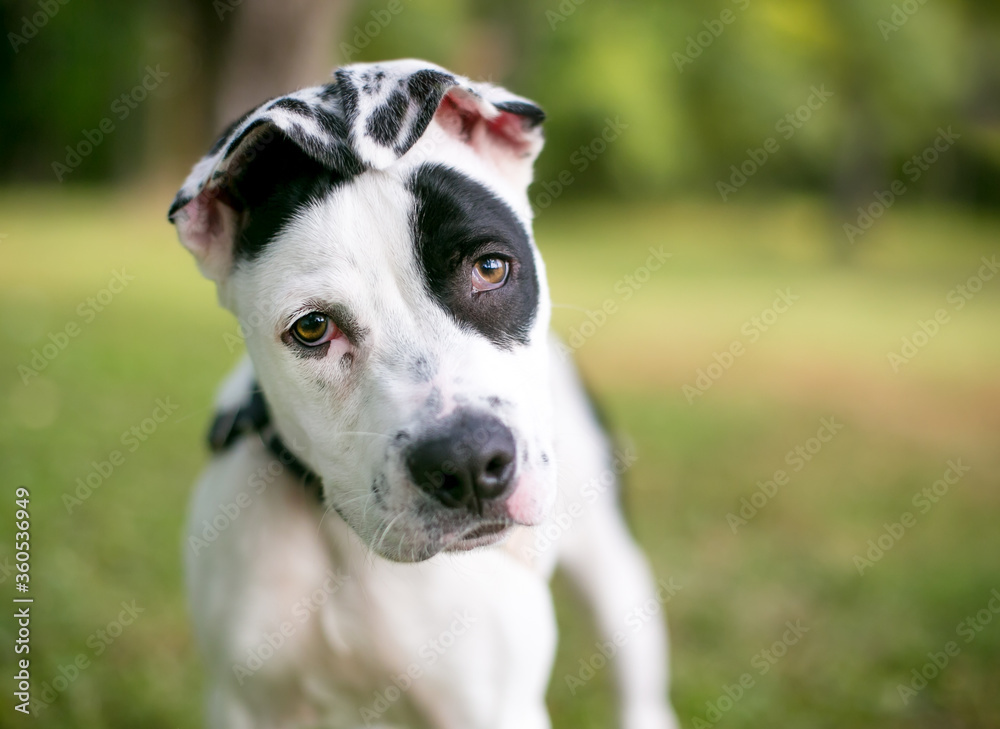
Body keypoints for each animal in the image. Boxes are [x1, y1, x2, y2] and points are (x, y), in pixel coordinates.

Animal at [170, 58, 680, 728]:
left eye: (491, 268)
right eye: (312, 328)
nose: (466, 463)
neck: (345, 544)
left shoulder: (493, 707)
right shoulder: (247, 703)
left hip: (614, 570)